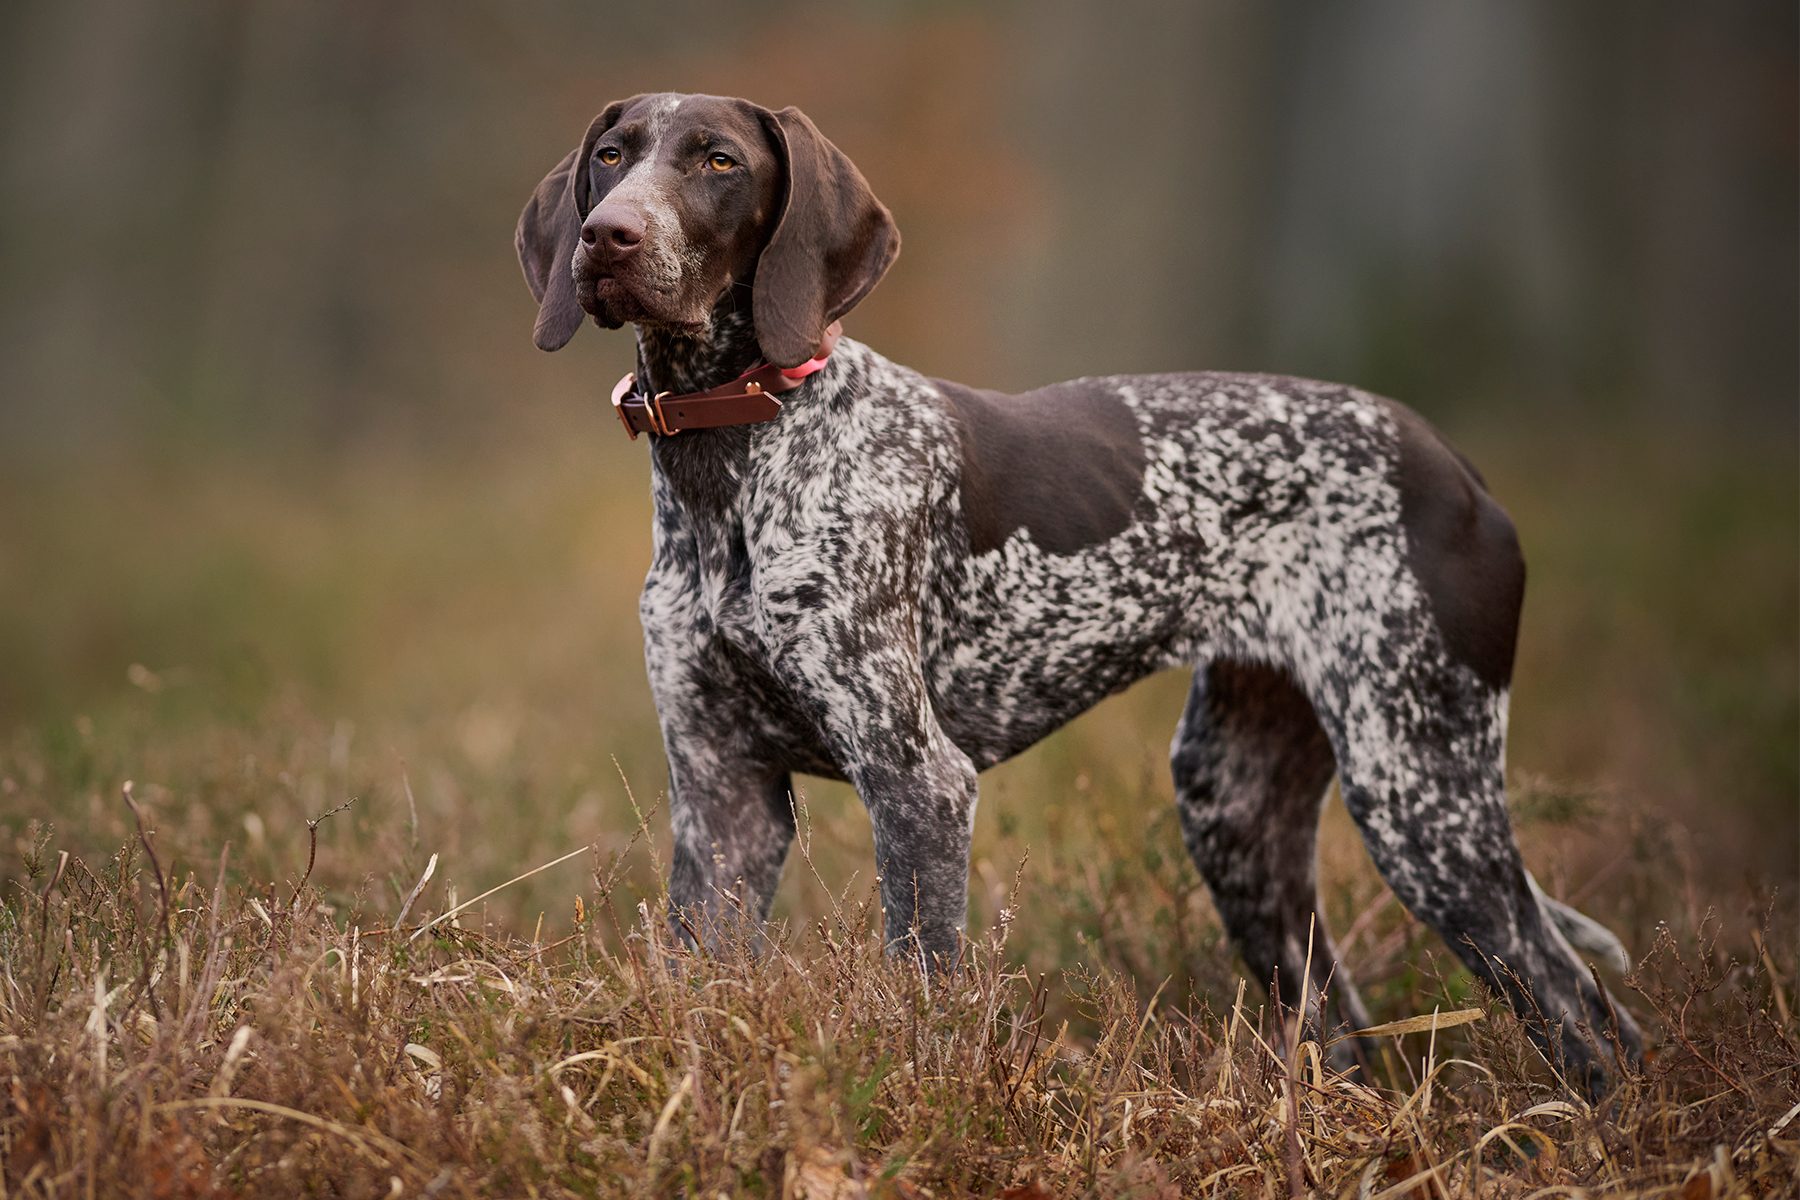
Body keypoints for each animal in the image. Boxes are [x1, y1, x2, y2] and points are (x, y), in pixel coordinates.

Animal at [514, 91, 1641, 1086]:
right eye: (612, 156)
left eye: (719, 162)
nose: (608, 237)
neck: (732, 464)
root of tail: (1455, 464)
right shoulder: (724, 796)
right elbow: (697, 981)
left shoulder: (918, 783)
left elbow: (921, 991)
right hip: (1238, 810)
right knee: (1348, 1025)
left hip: (1421, 794)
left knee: (1584, 1012)